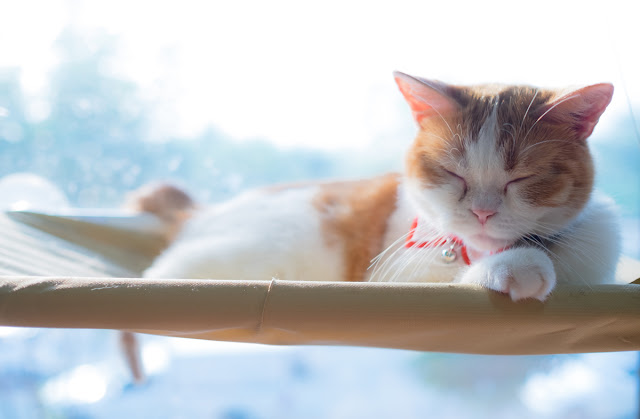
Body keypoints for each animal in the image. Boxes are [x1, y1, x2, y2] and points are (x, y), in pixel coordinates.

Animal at [121, 73, 620, 384]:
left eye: (522, 178)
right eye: (451, 173)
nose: (481, 212)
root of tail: (201, 213)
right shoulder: (394, 271)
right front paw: (514, 267)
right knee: (154, 280)